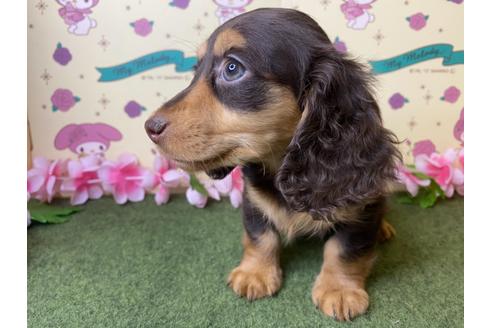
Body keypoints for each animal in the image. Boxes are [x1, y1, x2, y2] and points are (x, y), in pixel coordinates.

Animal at [145, 8, 400, 322]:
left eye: (232, 68)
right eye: (196, 69)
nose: (150, 127)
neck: (282, 164)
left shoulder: (359, 210)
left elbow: (345, 249)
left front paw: (339, 290)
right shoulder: (253, 200)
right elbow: (260, 236)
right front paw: (255, 273)